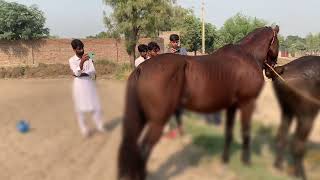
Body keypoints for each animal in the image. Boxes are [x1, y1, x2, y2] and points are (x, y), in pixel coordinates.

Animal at [119, 25, 278, 180]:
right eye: (277, 42)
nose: (271, 71)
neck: (248, 56)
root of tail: (141, 68)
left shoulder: (231, 106)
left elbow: (229, 133)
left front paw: (225, 160)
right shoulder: (247, 103)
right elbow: (246, 132)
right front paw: (246, 161)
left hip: (142, 117)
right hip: (158, 120)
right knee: (144, 149)